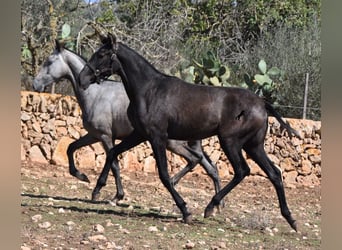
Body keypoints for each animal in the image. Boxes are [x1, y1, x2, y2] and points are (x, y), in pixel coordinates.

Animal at [32, 40, 222, 201]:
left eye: (48, 62)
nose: (35, 85)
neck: (95, 94)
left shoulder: (106, 136)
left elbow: (114, 164)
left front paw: (111, 194)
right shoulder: (94, 135)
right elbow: (71, 147)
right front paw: (82, 176)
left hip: (172, 143)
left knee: (196, 161)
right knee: (209, 167)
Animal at [80, 33, 300, 230]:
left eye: (101, 54)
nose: (83, 79)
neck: (149, 91)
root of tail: (262, 104)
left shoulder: (157, 137)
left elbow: (164, 175)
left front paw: (185, 211)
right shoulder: (139, 134)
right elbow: (112, 152)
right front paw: (98, 190)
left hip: (230, 141)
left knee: (242, 171)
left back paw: (210, 207)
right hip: (253, 145)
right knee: (274, 173)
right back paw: (291, 220)